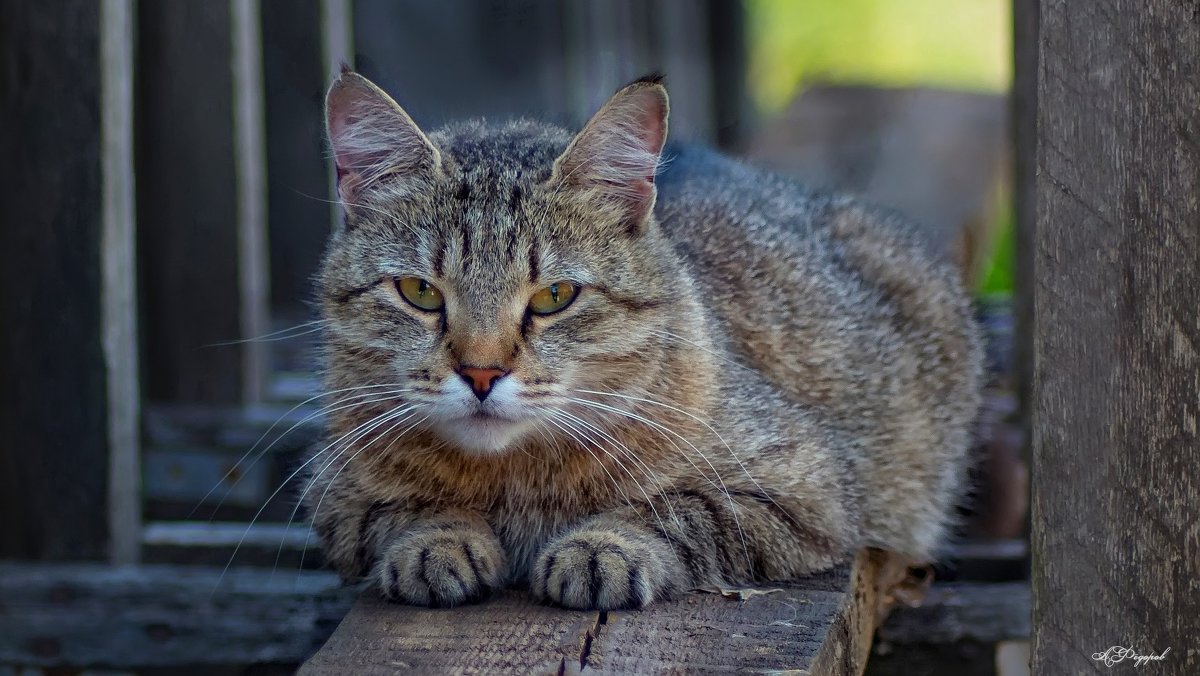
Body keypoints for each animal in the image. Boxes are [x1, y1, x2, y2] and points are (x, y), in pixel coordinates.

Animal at [302, 70, 984, 614]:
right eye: (419, 291)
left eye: (555, 296)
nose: (481, 373)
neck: (515, 477)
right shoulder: (336, 493)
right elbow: (394, 512)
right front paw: (437, 539)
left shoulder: (806, 488)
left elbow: (679, 509)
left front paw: (604, 546)